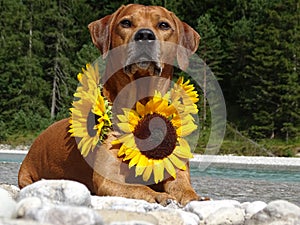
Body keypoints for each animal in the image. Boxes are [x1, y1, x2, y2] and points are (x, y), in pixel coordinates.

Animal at [18, 3, 202, 206]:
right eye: (126, 23)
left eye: (163, 25)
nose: (145, 35)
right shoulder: (109, 178)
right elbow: (139, 188)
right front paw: (159, 195)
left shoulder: (175, 168)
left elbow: (185, 189)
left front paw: (196, 197)